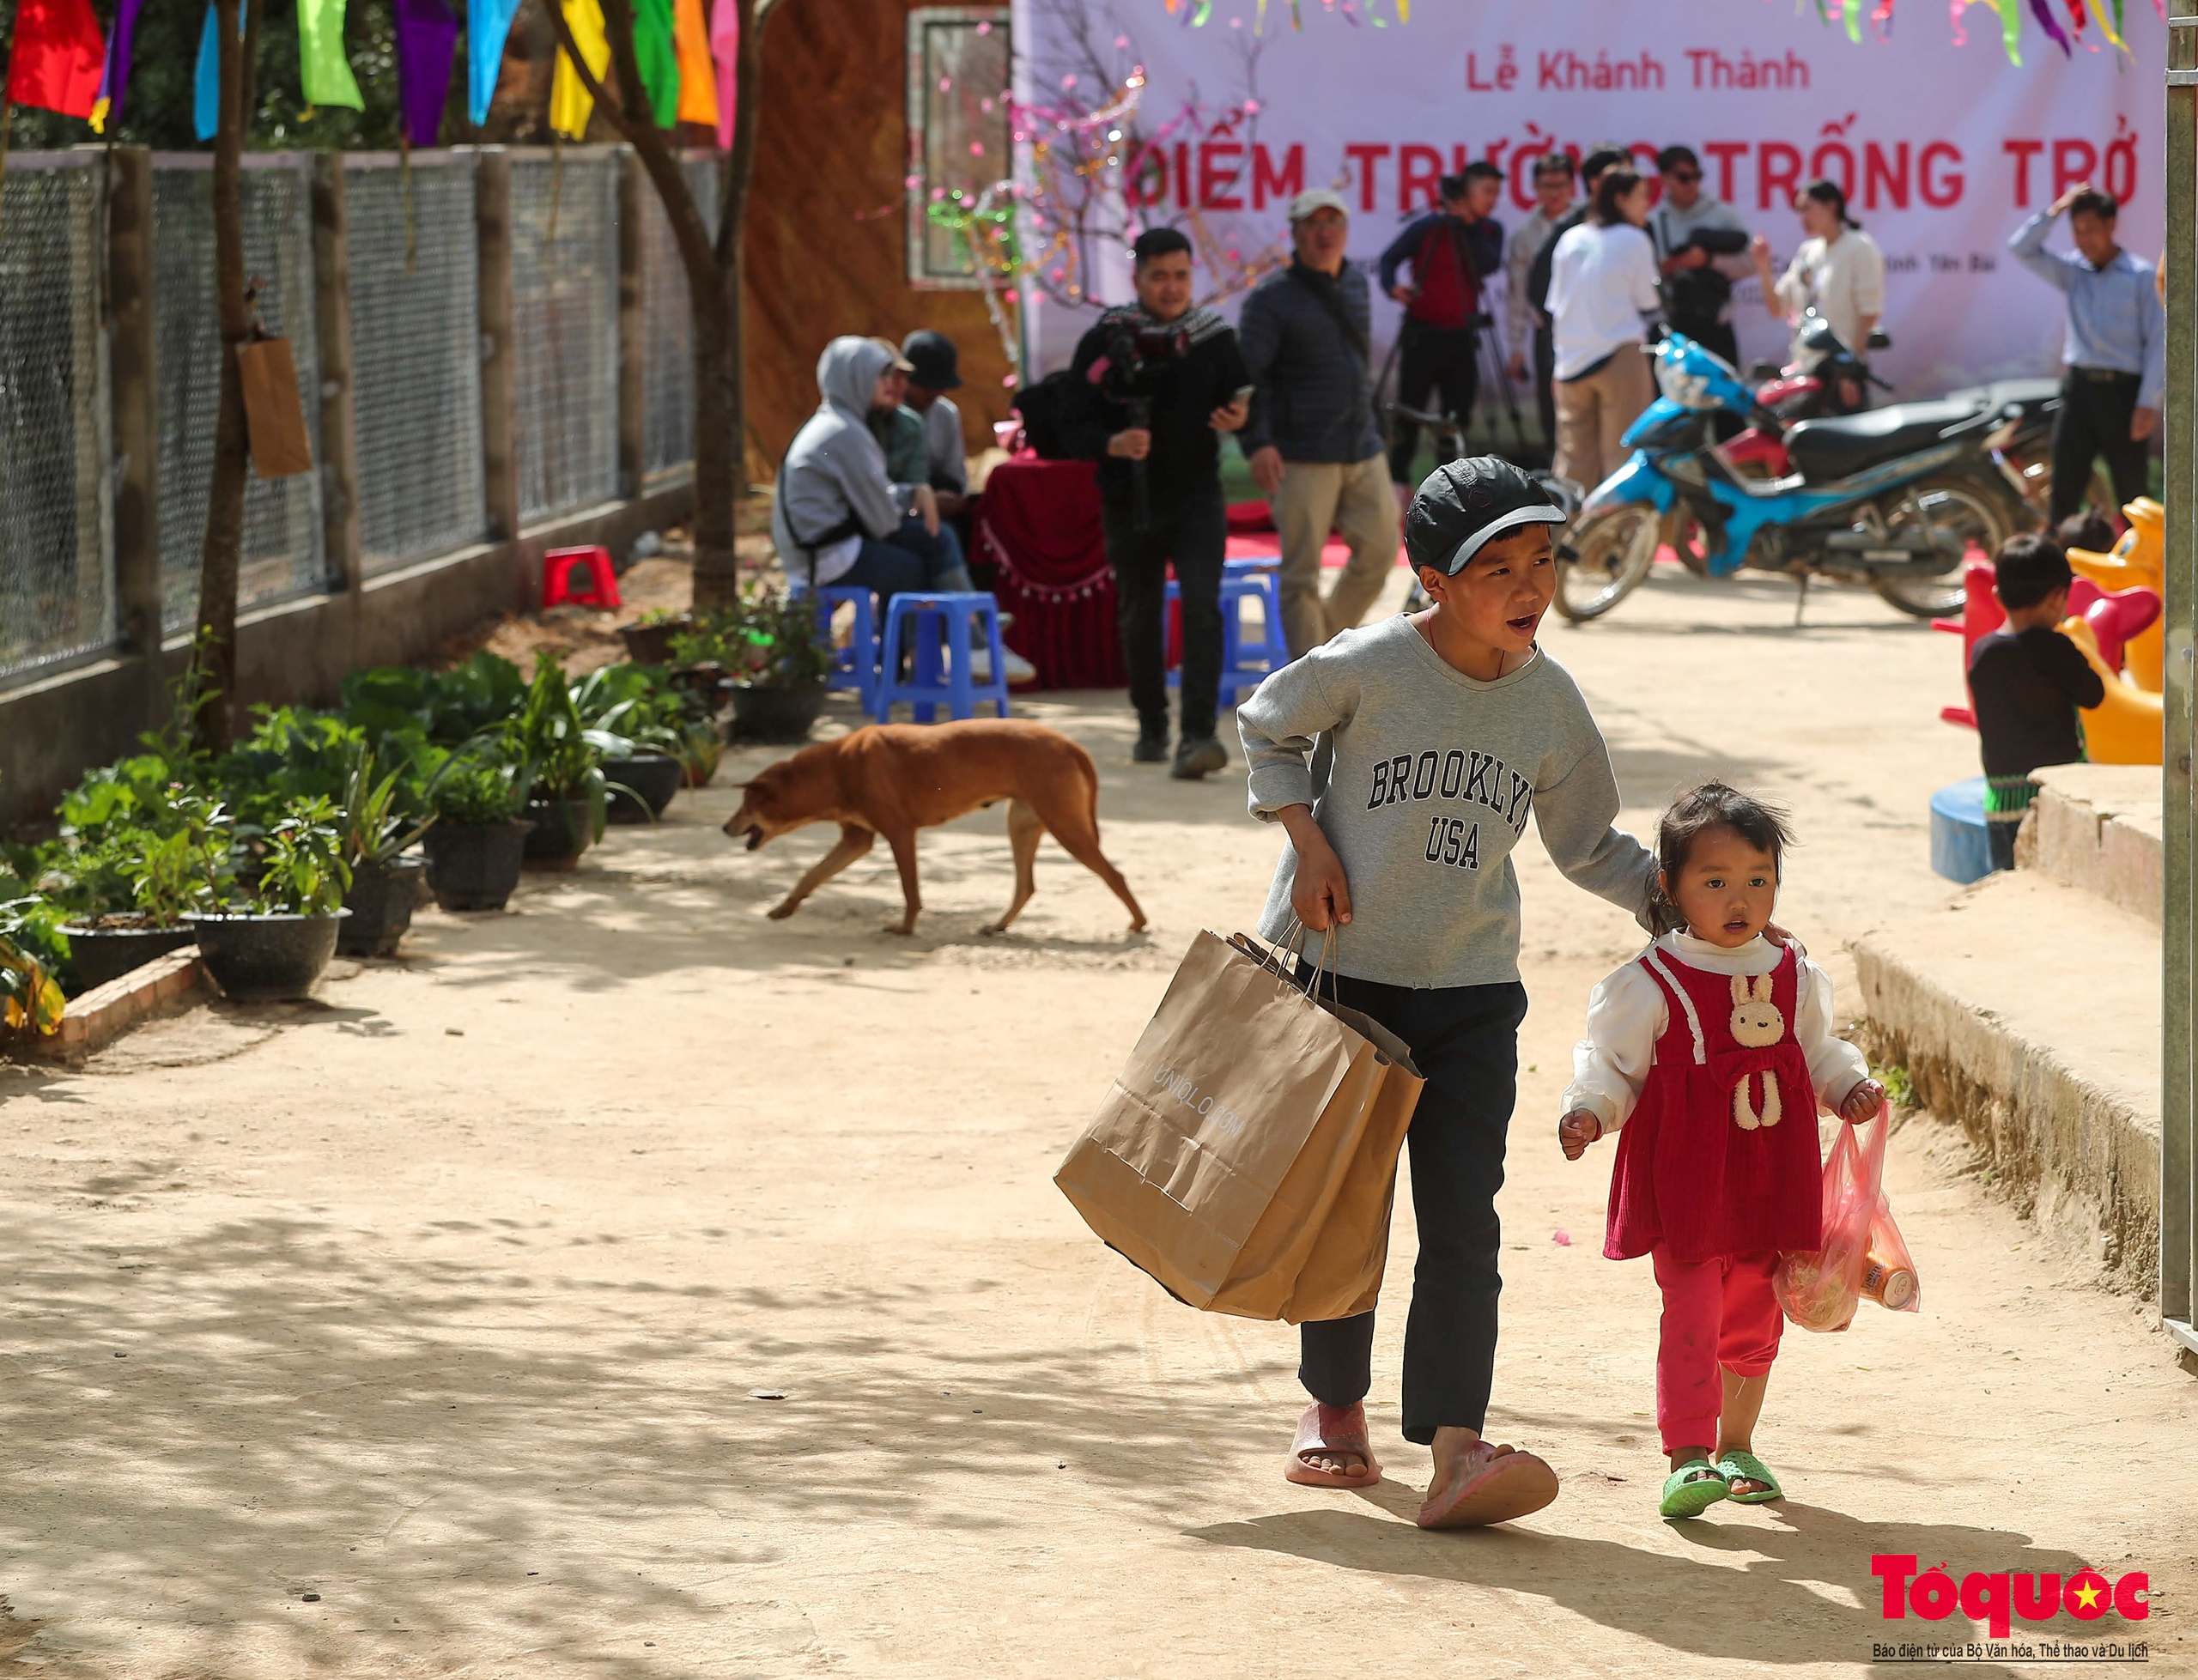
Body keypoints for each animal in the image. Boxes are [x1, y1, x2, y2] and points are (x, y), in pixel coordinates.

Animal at [729, 717, 1151, 937]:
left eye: (746, 803)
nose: (725, 828)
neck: (836, 767)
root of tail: (1069, 744)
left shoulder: (899, 833)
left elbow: (910, 890)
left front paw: (905, 928)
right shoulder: (857, 839)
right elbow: (811, 874)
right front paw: (785, 907)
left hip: (1065, 826)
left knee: (1113, 874)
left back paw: (1138, 922)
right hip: (1023, 824)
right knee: (1026, 886)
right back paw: (998, 925)